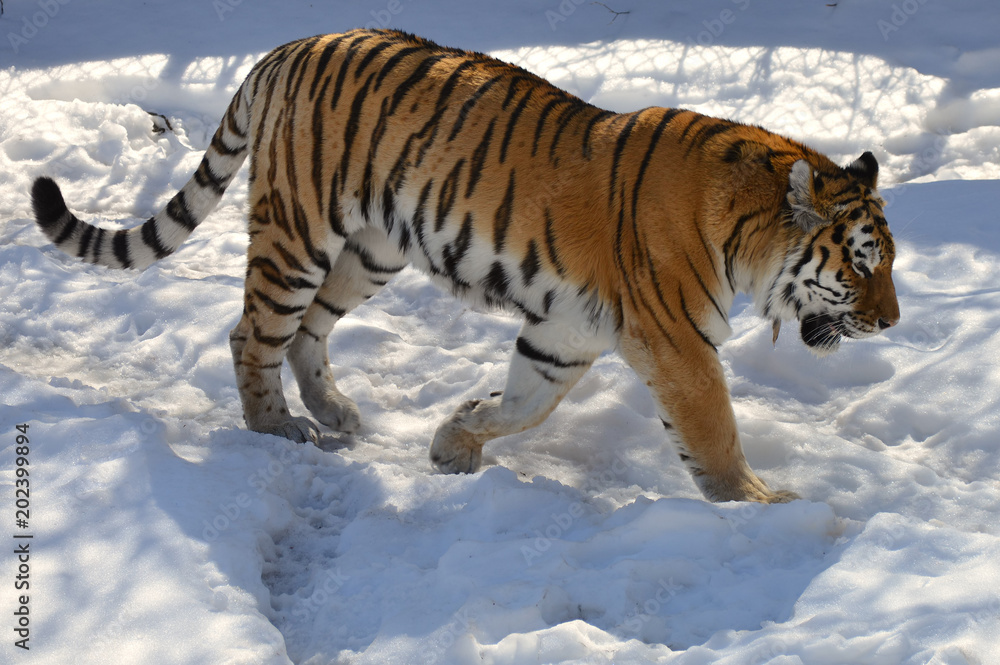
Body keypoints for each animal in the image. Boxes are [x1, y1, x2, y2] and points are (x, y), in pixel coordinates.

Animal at [30, 29, 899, 504]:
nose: (892, 321)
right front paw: (763, 503)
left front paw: (455, 440)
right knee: (252, 333)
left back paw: (335, 412)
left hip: (370, 249)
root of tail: (286, 48)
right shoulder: (679, 344)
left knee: (307, 331)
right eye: (861, 266)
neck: (746, 231)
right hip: (298, 234)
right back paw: (279, 428)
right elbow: (714, 431)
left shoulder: (568, 331)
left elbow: (523, 403)